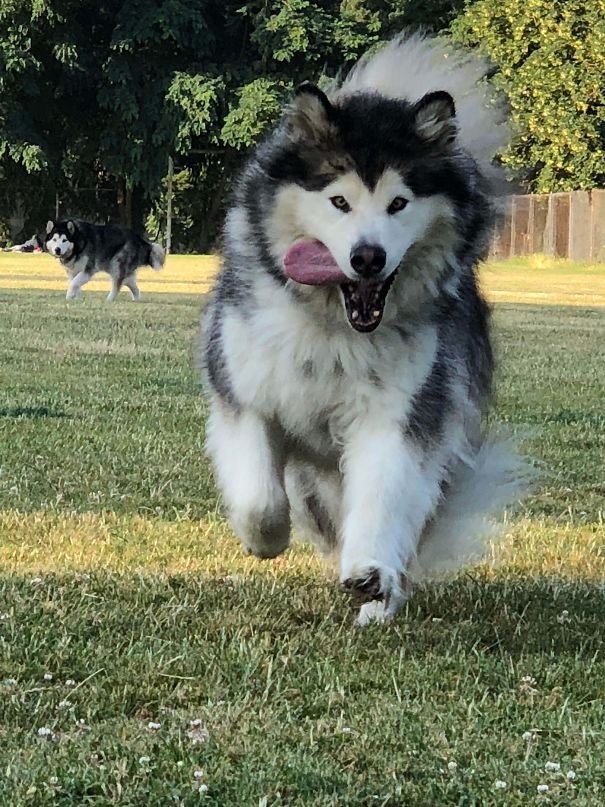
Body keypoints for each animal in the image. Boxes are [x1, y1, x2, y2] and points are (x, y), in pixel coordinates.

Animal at [202, 33, 520, 624]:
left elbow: (382, 494)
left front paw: (371, 573)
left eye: (398, 203)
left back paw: (379, 598)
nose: (368, 258)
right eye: (339, 201)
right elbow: (259, 498)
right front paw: (266, 539)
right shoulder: (245, 391)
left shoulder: (399, 413)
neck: (335, 328)